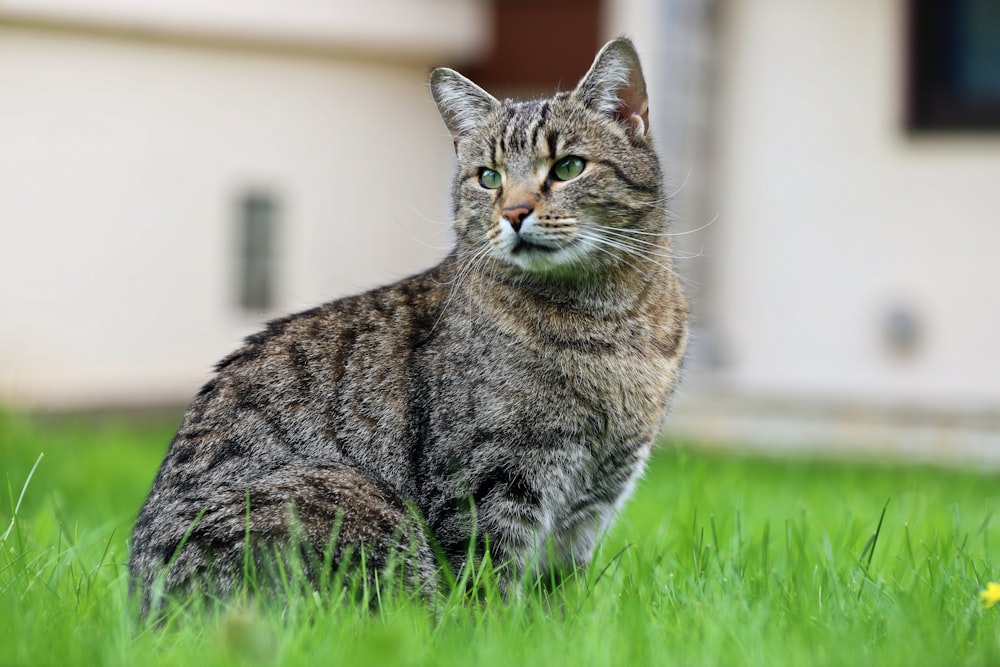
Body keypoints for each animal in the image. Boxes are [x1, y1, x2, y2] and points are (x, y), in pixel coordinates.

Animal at [127, 37, 688, 616]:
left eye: (568, 166)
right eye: (489, 177)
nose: (513, 212)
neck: (609, 324)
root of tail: (146, 612)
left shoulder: (593, 499)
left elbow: (557, 597)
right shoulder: (487, 479)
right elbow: (487, 587)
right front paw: (498, 626)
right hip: (351, 495)